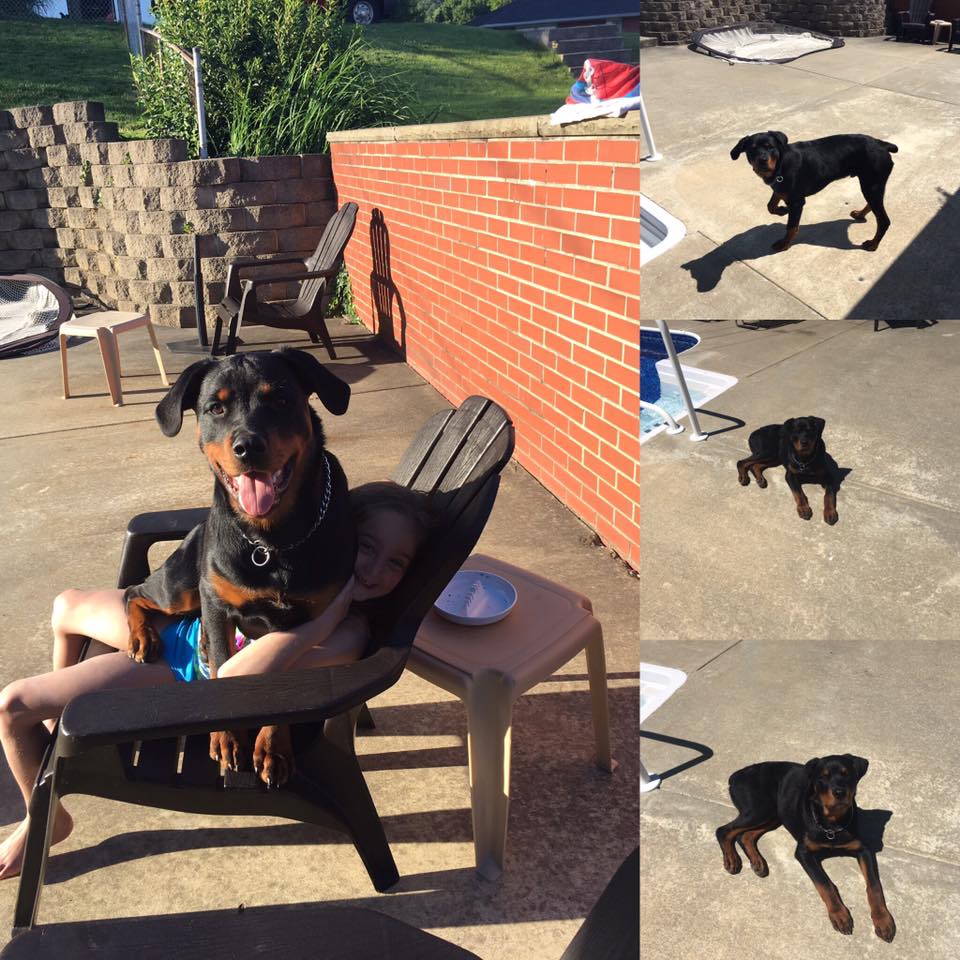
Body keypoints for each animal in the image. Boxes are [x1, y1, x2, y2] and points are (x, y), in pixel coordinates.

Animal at [123, 348, 356, 784]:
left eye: (280, 399)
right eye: (216, 407)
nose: (248, 445)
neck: (272, 541)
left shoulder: (308, 619)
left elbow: (285, 679)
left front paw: (273, 747)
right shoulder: (215, 603)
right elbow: (221, 662)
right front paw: (228, 737)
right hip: (182, 587)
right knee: (133, 592)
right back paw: (142, 637)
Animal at [716, 752, 896, 940]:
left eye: (847, 774)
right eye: (822, 777)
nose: (840, 792)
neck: (833, 824)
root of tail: (737, 774)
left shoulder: (863, 849)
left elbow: (874, 885)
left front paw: (883, 920)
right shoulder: (803, 852)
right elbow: (825, 883)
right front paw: (840, 915)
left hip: (775, 814)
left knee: (745, 836)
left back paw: (757, 862)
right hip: (760, 809)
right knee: (724, 830)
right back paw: (731, 859)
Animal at [732, 130, 896, 251]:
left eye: (770, 146)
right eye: (751, 149)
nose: (762, 160)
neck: (781, 164)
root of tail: (882, 144)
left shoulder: (797, 201)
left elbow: (792, 226)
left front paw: (784, 244)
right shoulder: (780, 189)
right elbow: (770, 206)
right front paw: (782, 210)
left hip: (871, 185)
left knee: (883, 220)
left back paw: (873, 244)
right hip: (871, 185)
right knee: (873, 206)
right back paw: (860, 214)